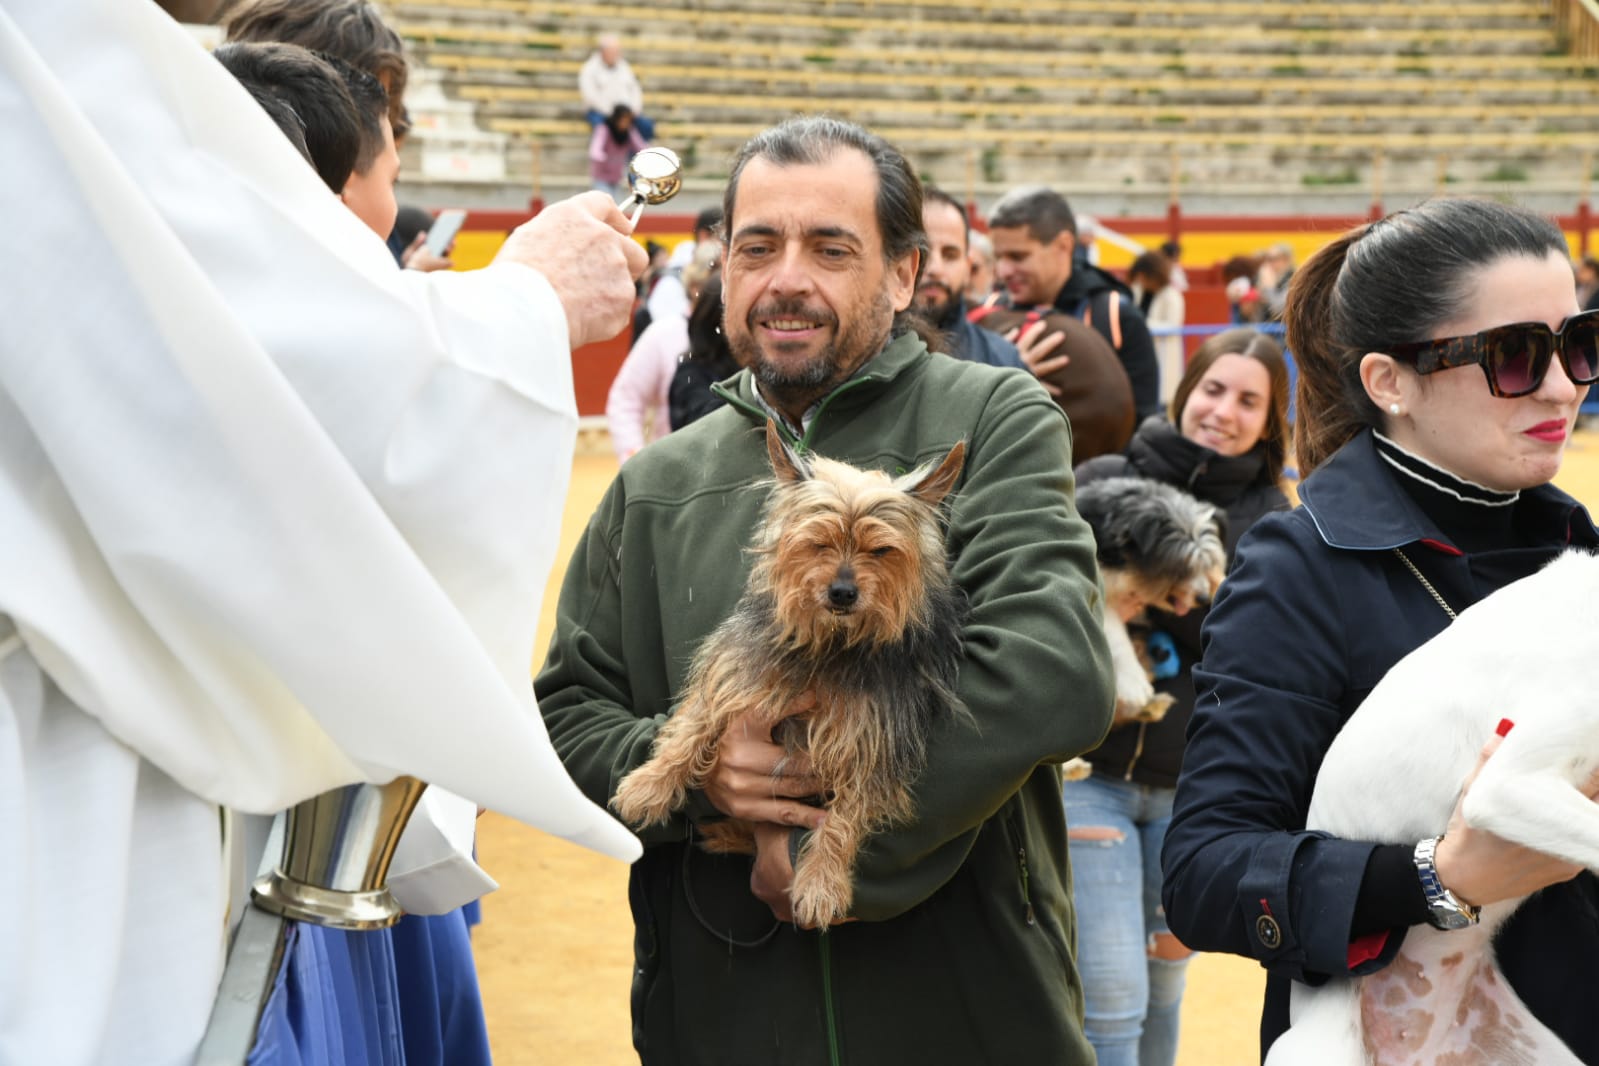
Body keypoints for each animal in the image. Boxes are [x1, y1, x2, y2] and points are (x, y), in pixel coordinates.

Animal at [607, 421, 959, 926]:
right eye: (818, 543)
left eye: (880, 550)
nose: (843, 592)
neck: (832, 645)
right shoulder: (741, 671)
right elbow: (695, 721)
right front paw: (650, 784)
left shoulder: (873, 738)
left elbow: (846, 815)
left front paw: (820, 881)